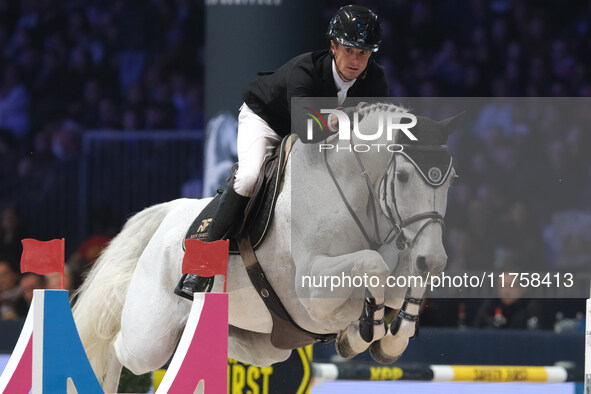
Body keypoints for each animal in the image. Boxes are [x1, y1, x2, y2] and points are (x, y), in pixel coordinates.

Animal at [73, 102, 462, 390]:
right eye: (404, 177)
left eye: (451, 180)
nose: (433, 259)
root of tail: (165, 218)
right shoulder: (314, 291)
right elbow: (373, 266)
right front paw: (361, 333)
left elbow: (401, 283)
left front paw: (385, 337)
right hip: (148, 339)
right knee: (118, 347)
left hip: (263, 346)